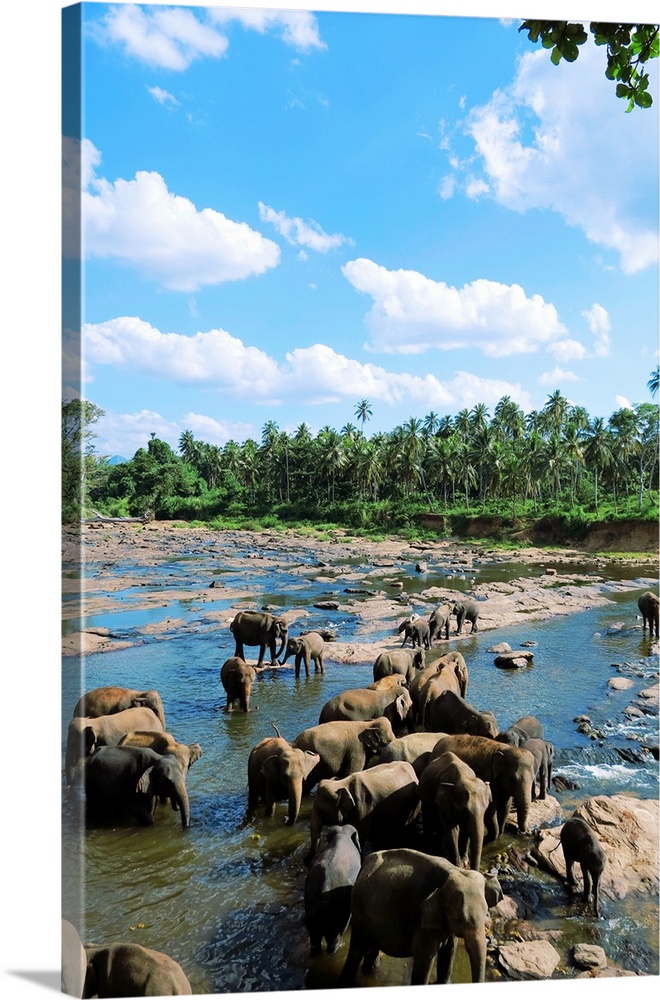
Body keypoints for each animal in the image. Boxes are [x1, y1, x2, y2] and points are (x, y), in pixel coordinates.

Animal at [338, 848, 502, 988]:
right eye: (459, 919)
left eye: (486, 914)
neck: (455, 870)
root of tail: (365, 863)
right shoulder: (420, 916)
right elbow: (425, 957)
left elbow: (450, 949)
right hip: (359, 909)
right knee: (357, 947)